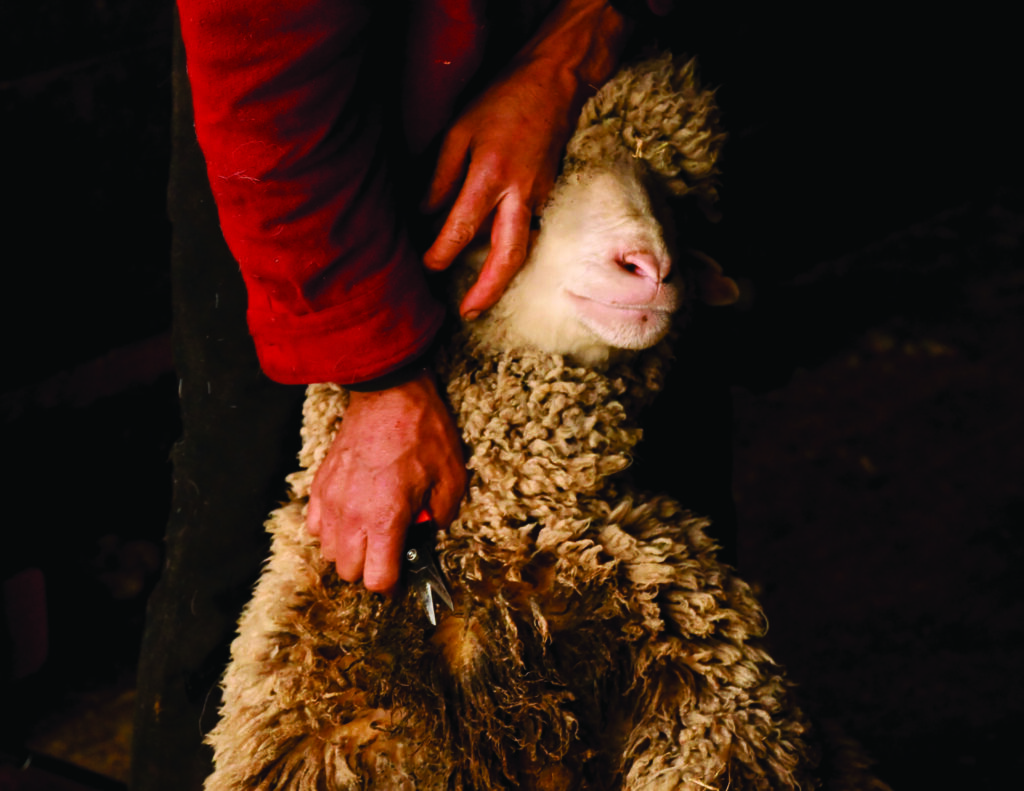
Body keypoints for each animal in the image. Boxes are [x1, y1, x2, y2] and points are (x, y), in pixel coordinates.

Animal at [204, 54, 890, 791]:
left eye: (671, 207)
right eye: (521, 215)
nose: (651, 266)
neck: (507, 529)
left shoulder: (711, 689)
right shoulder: (318, 722)